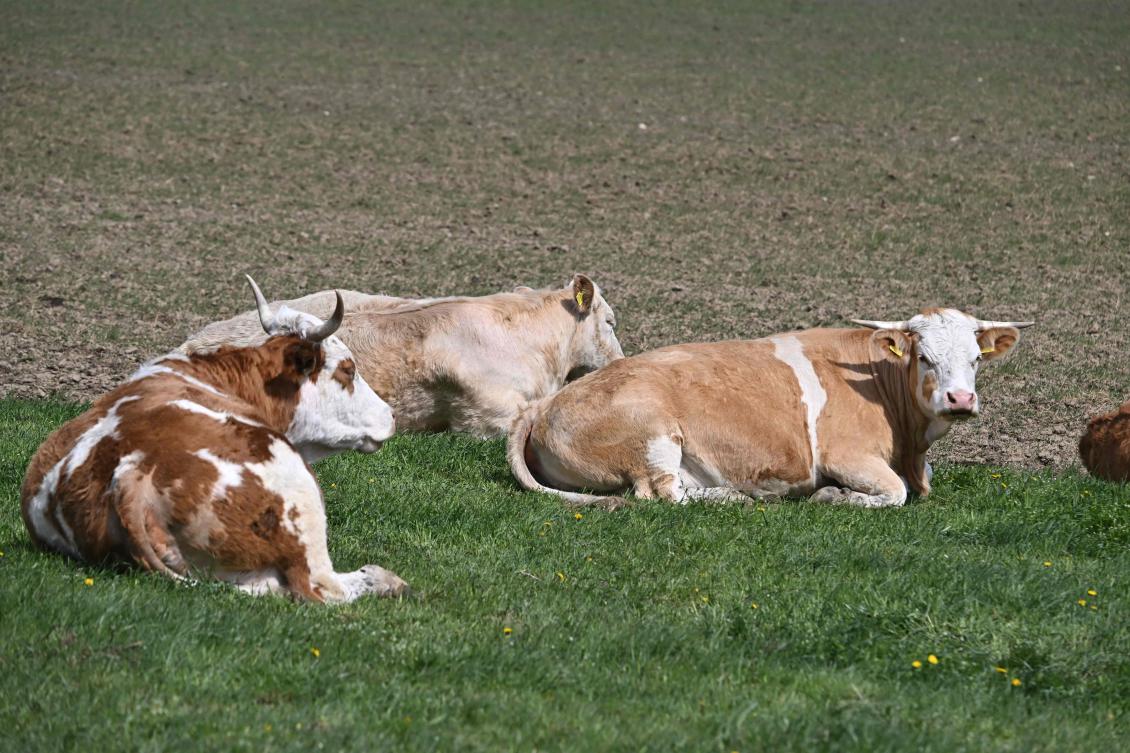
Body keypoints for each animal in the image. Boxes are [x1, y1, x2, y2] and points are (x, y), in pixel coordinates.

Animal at [20, 277, 407, 603]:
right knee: (323, 588)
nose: (391, 415)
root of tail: (130, 477)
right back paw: (386, 580)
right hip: (297, 490)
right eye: (348, 370)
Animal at [508, 308, 1033, 508]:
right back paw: (735, 497)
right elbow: (896, 492)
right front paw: (833, 496)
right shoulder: (846, 456)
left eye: (975, 359)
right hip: (653, 435)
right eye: (925, 357)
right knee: (661, 493)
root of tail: (543, 405)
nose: (960, 400)